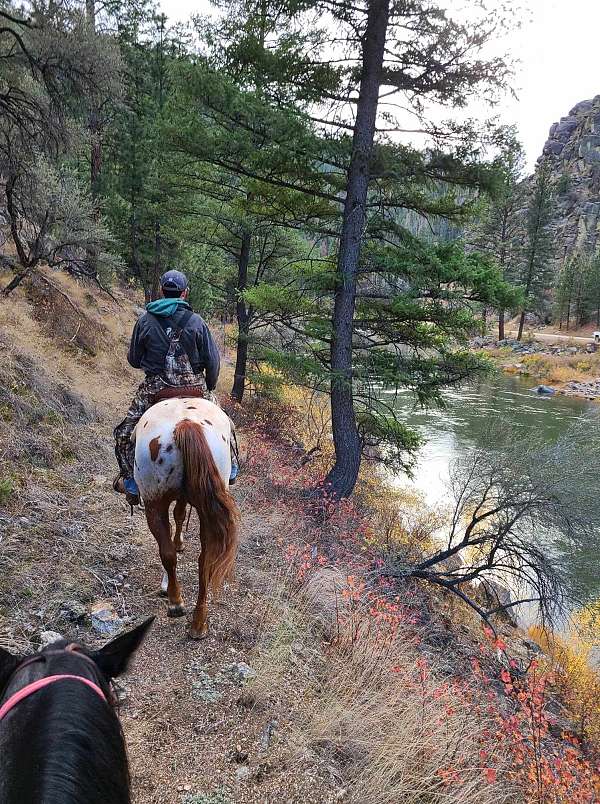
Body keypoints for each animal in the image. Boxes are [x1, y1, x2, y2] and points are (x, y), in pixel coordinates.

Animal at [134, 398, 239, 640]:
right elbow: (180, 514)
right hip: (205, 511)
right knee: (205, 561)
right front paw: (180, 542)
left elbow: (177, 518)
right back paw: (199, 623)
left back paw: (175, 602)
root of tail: (185, 423)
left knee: (167, 553)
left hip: (153, 504)